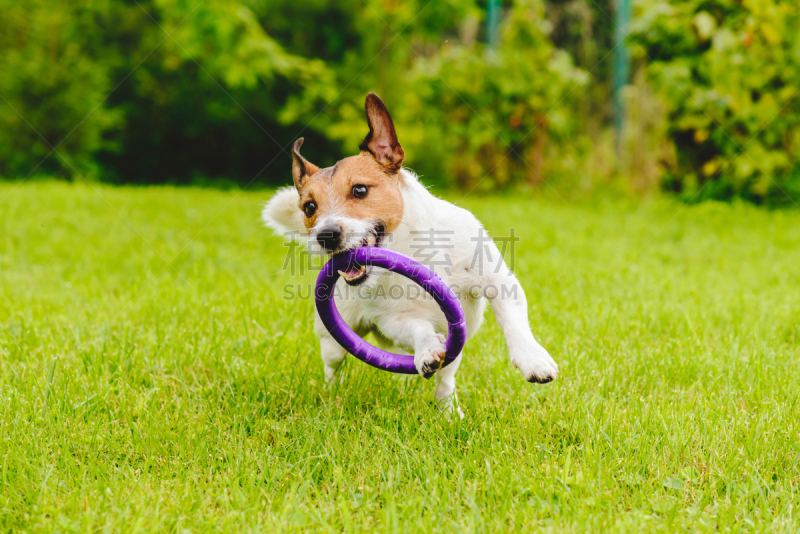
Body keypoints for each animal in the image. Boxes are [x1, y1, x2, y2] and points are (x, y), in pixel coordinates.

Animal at [262, 94, 556, 416]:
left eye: (360, 190)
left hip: (453, 352)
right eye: (309, 207)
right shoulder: (395, 320)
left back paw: (449, 412)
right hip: (334, 337)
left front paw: (533, 360)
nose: (325, 236)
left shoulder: (498, 280)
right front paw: (427, 348)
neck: (411, 252)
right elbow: (419, 329)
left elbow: (512, 319)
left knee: (445, 380)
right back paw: (333, 395)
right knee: (333, 364)